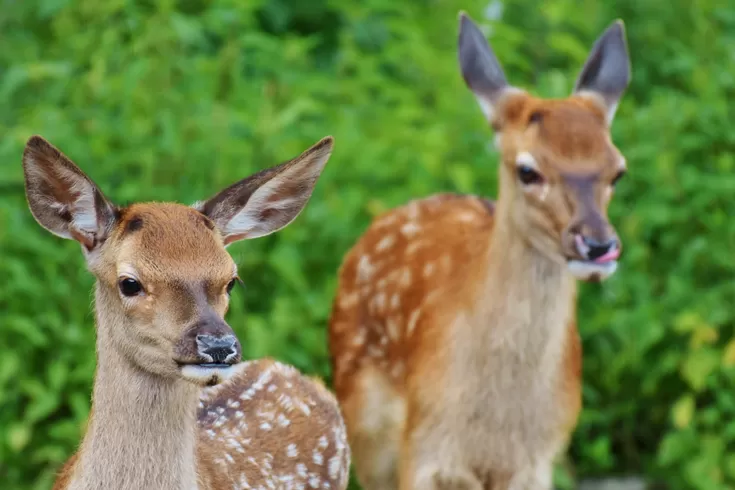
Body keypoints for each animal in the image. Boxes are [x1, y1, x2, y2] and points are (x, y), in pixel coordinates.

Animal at [330, 11, 632, 490]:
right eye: (527, 170)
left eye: (617, 170)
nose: (598, 245)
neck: (495, 428)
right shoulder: (424, 446)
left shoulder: (539, 459)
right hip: (364, 420)